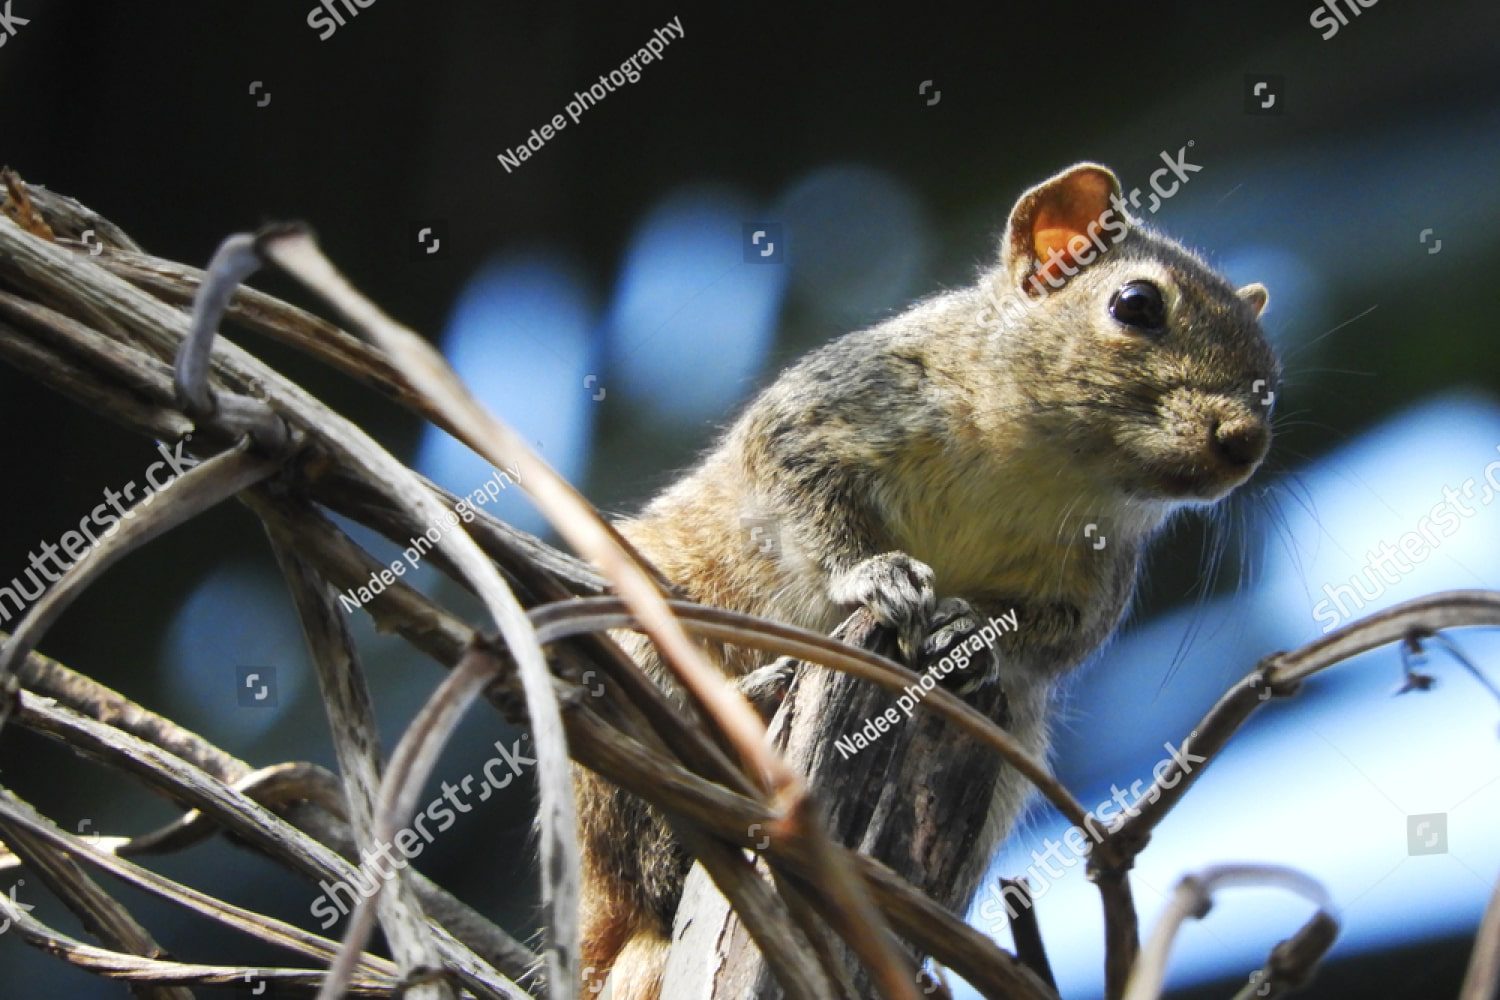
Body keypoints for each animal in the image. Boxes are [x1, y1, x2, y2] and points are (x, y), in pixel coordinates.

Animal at [574, 162, 1278, 998]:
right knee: (644, 855)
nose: (1246, 442)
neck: (1042, 463)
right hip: (636, 645)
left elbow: (1055, 639)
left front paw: (972, 632)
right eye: (1136, 304)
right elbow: (797, 482)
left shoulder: (1097, 580)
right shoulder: (839, 403)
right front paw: (876, 573)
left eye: (1272, 377)